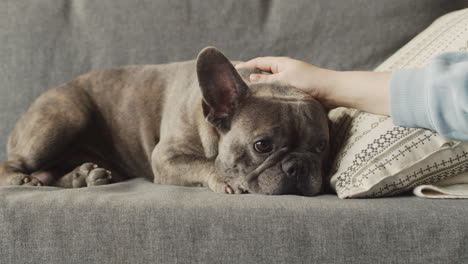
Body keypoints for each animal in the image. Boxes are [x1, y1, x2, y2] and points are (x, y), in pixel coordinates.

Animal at [0, 47, 330, 196]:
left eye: (321, 148)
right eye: (262, 146)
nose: (298, 165)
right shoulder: (167, 157)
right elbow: (203, 164)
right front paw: (225, 178)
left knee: (49, 174)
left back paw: (84, 176)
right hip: (63, 119)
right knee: (14, 164)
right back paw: (22, 180)